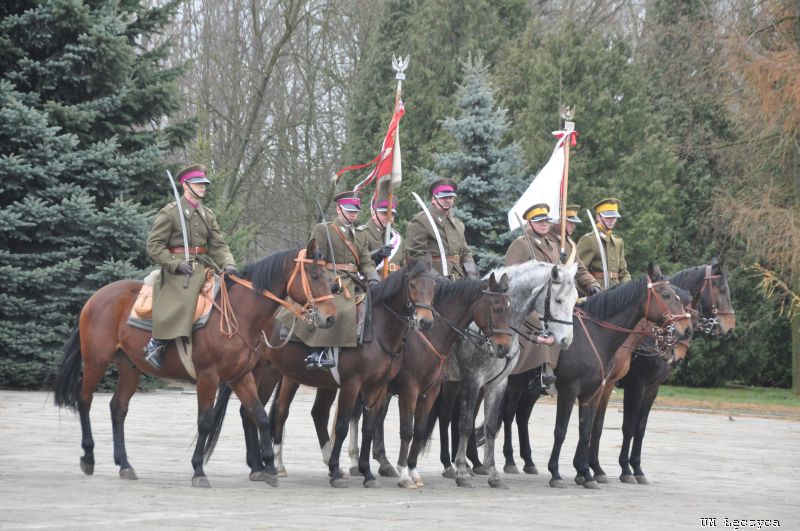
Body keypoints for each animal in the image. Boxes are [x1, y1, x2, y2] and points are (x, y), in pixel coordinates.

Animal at [52, 239, 334, 488]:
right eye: (314, 274)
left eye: (328, 275)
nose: (330, 318)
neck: (240, 313)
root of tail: (96, 296)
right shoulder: (208, 377)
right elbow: (205, 421)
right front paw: (198, 468)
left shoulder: (239, 376)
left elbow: (260, 416)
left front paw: (267, 468)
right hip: (96, 360)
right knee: (84, 399)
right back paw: (89, 457)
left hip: (129, 367)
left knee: (118, 408)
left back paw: (124, 464)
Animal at [206, 256, 434, 488]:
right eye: (412, 285)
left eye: (433, 286)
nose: (426, 321)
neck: (377, 328)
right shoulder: (352, 384)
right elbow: (342, 426)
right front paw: (336, 470)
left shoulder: (377, 387)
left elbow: (369, 428)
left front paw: (367, 473)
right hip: (260, 372)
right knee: (255, 411)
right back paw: (261, 465)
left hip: (270, 373)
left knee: (254, 411)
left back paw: (258, 465)